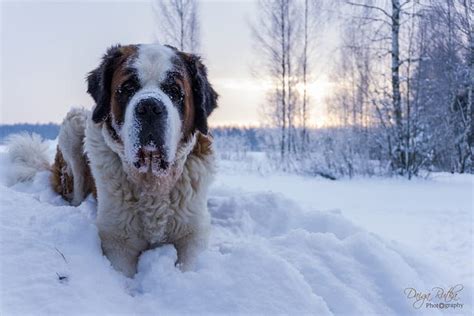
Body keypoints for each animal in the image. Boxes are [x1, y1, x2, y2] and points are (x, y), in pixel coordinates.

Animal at [7, 43, 218, 278]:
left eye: (174, 91)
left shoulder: (193, 235)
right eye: (127, 88)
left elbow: (188, 265)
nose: (150, 107)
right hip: (75, 124)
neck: (151, 181)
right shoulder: (117, 242)